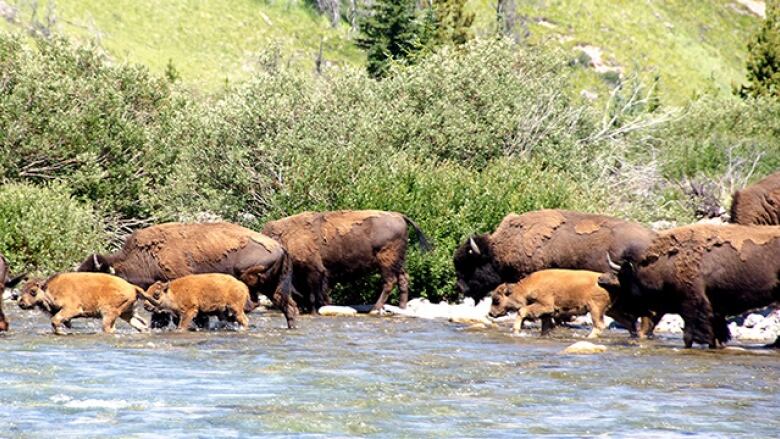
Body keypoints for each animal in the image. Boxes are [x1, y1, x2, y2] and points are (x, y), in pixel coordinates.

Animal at [16, 274, 148, 336]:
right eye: (22, 289)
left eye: (33, 291)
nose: (21, 303)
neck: (49, 289)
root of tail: (132, 287)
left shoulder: (72, 309)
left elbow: (55, 320)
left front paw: (62, 332)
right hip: (127, 313)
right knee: (140, 324)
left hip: (109, 313)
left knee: (109, 328)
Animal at [262, 210, 432, 312]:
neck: (287, 236)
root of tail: (399, 216)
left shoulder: (314, 271)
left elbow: (314, 293)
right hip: (398, 261)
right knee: (403, 279)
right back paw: (402, 307)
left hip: (386, 261)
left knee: (389, 282)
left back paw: (375, 308)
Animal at [600, 225, 780, 348]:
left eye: (624, 278)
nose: (622, 308)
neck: (666, 263)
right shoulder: (715, 311)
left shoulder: (692, 305)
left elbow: (690, 334)